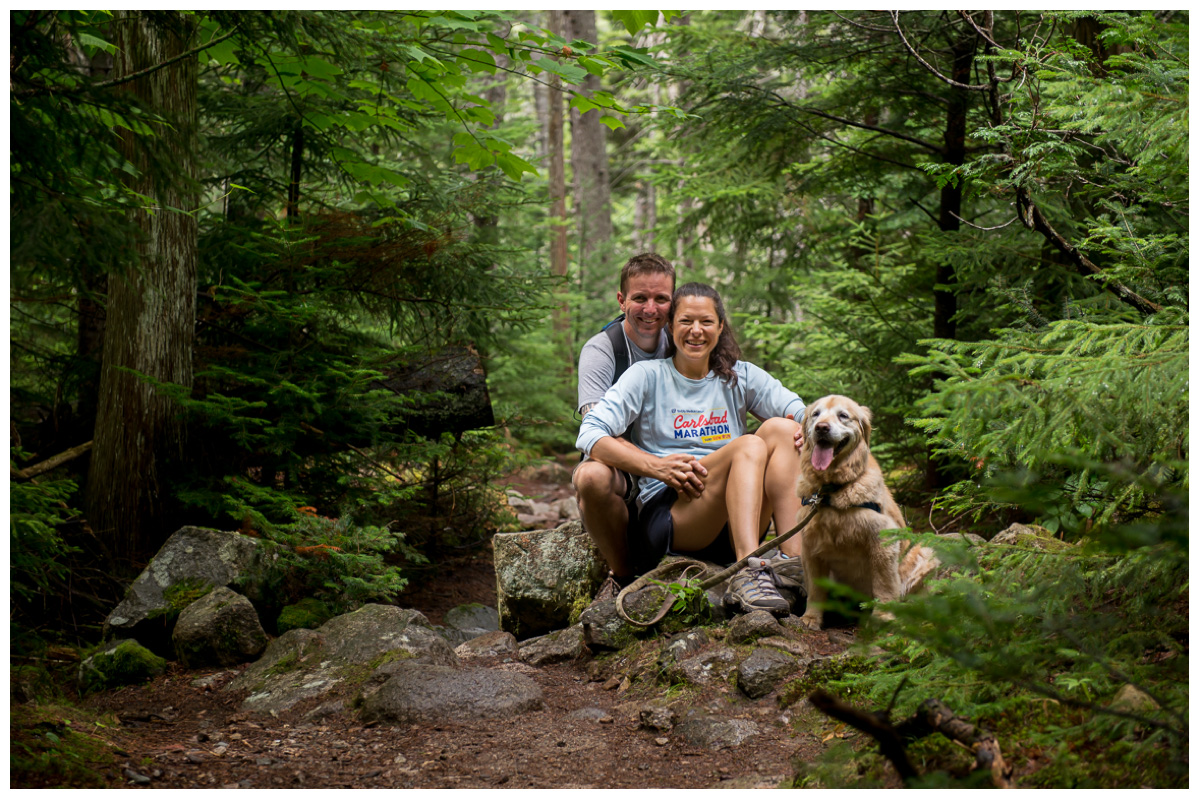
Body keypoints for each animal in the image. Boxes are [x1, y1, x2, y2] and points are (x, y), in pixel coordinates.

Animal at [796, 393, 936, 633]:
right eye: (816, 414)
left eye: (843, 416)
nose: (822, 428)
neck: (831, 490)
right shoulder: (810, 546)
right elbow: (815, 588)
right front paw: (811, 618)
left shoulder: (882, 540)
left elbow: (884, 585)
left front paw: (883, 618)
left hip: (926, 553)